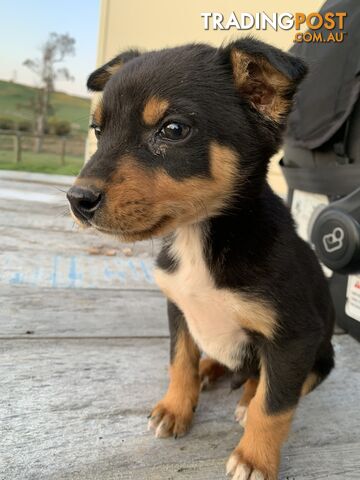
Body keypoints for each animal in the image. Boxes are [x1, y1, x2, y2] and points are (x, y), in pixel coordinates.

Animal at [67, 38, 334, 480]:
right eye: (98, 130)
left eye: (173, 130)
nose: (77, 200)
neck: (199, 237)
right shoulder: (178, 307)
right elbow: (180, 360)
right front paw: (175, 409)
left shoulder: (294, 336)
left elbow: (274, 406)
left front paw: (255, 458)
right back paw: (210, 369)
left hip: (321, 354)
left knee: (270, 383)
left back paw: (245, 397)